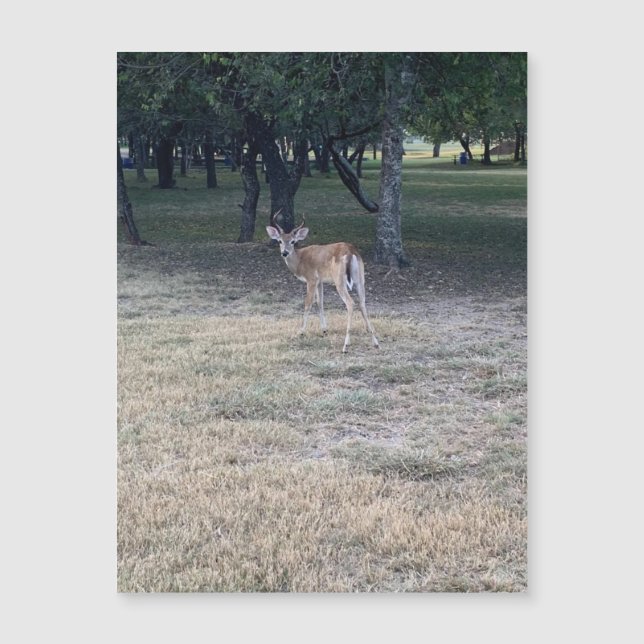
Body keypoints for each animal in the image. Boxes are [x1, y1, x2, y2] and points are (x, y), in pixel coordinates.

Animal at [266, 213, 379, 353]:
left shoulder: (311, 279)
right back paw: (375, 342)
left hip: (339, 280)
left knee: (350, 303)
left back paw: (346, 345)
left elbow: (308, 303)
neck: (300, 261)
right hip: (360, 279)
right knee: (362, 302)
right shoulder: (320, 281)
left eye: (293, 241)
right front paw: (324, 330)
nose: (284, 253)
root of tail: (350, 252)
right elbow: (320, 302)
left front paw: (301, 331)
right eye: (280, 241)